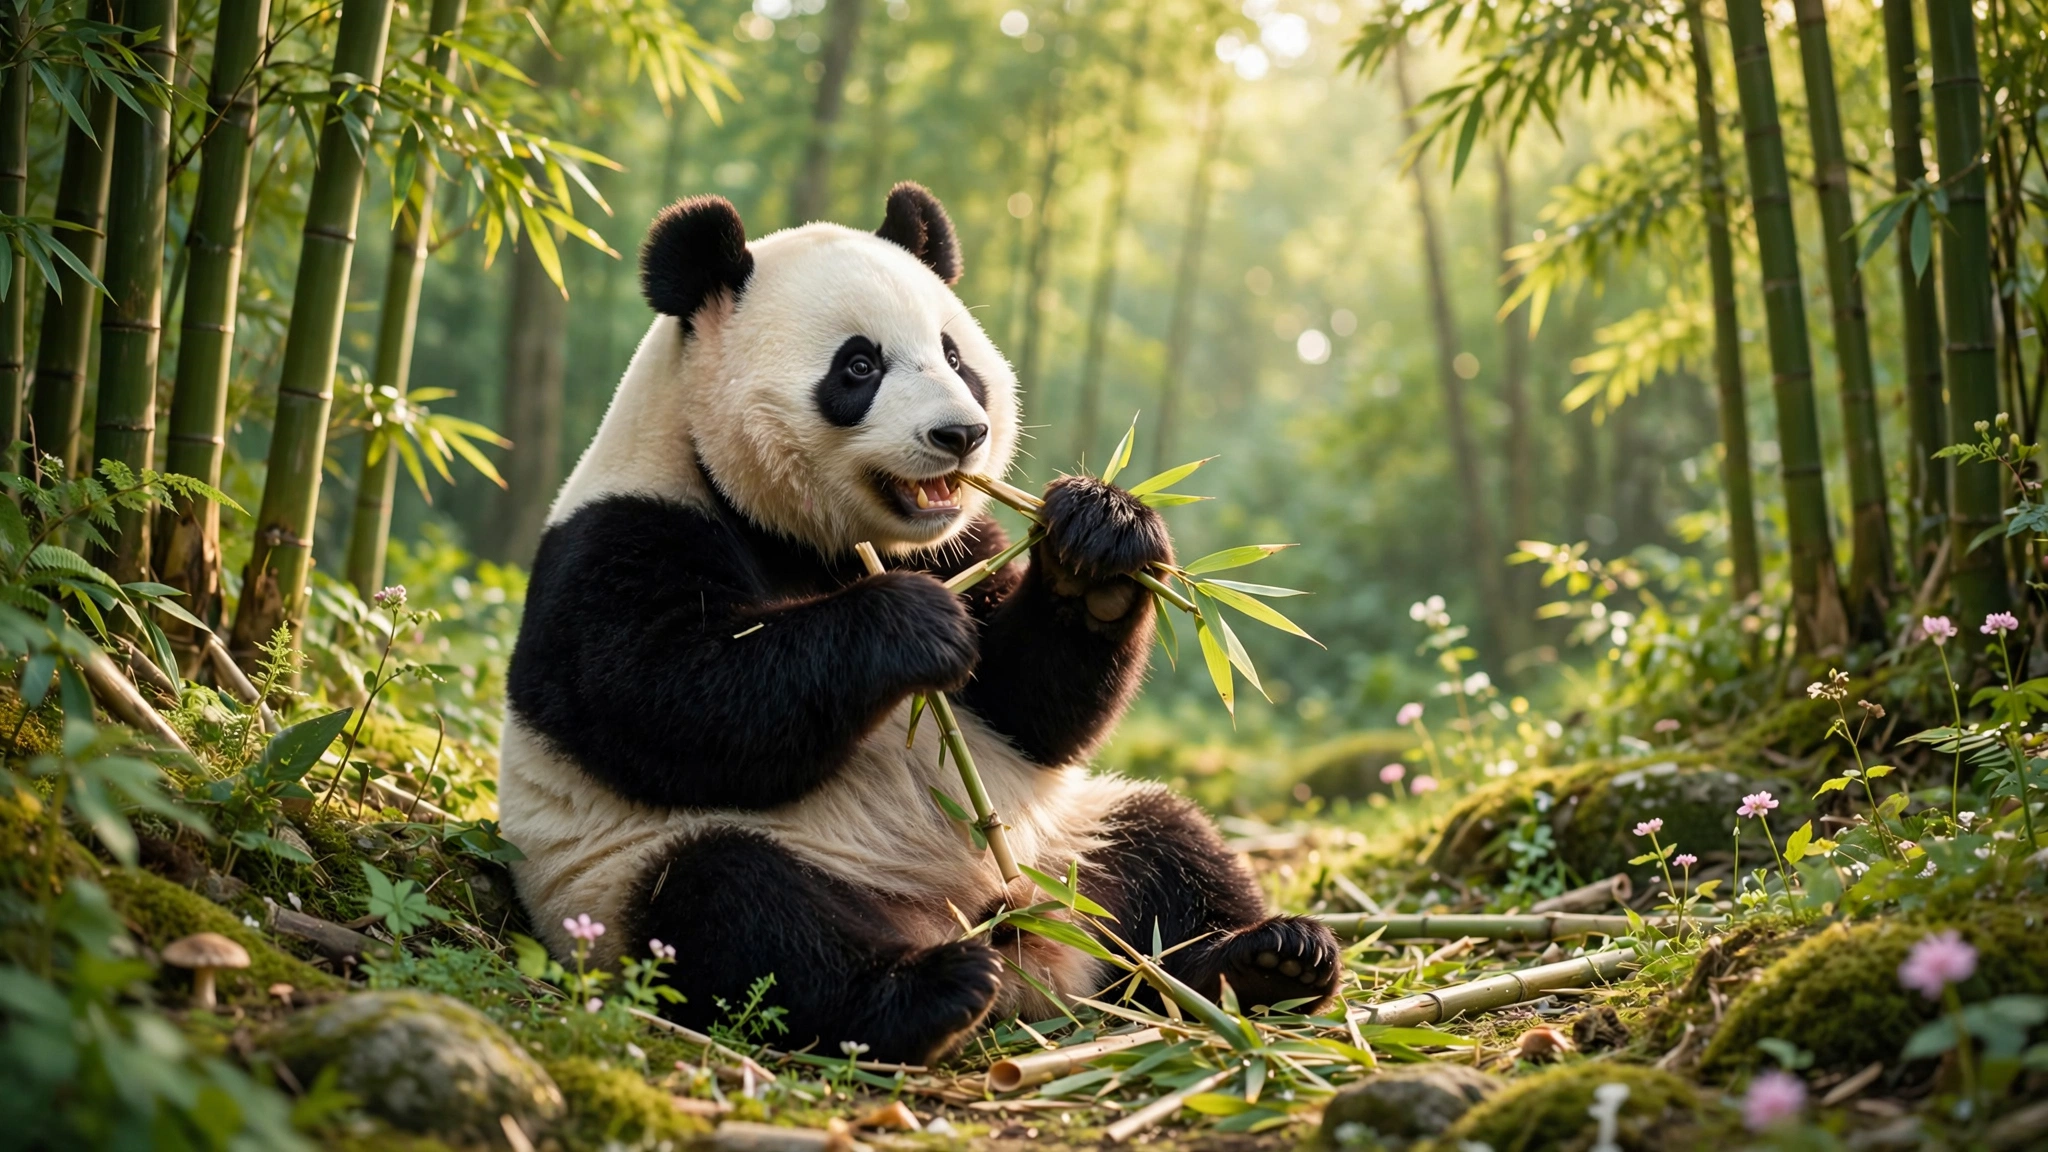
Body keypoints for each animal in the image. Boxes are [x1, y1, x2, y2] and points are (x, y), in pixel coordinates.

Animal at [498, 183, 1342, 1064]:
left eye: (954, 356)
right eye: (859, 366)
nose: (960, 434)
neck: (809, 538)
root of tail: (1010, 935)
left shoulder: (962, 543)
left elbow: (1029, 711)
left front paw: (1100, 544)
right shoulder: (622, 536)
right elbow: (667, 703)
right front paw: (909, 626)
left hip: (1062, 844)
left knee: (1164, 844)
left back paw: (1264, 961)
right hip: (635, 880)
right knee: (736, 910)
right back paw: (927, 991)